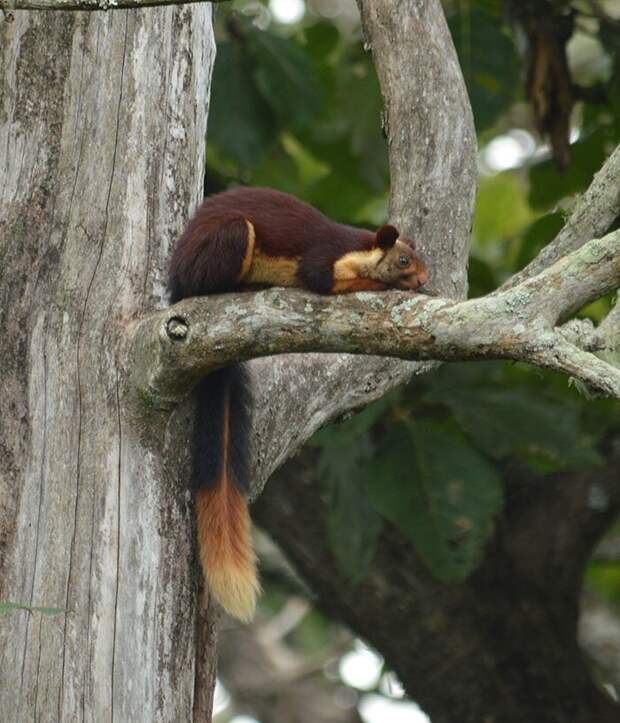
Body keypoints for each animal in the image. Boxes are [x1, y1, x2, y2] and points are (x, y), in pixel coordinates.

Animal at [170, 184, 432, 620]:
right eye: (403, 260)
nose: (425, 279)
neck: (358, 250)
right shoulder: (322, 260)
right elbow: (322, 282)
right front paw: (381, 286)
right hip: (227, 239)